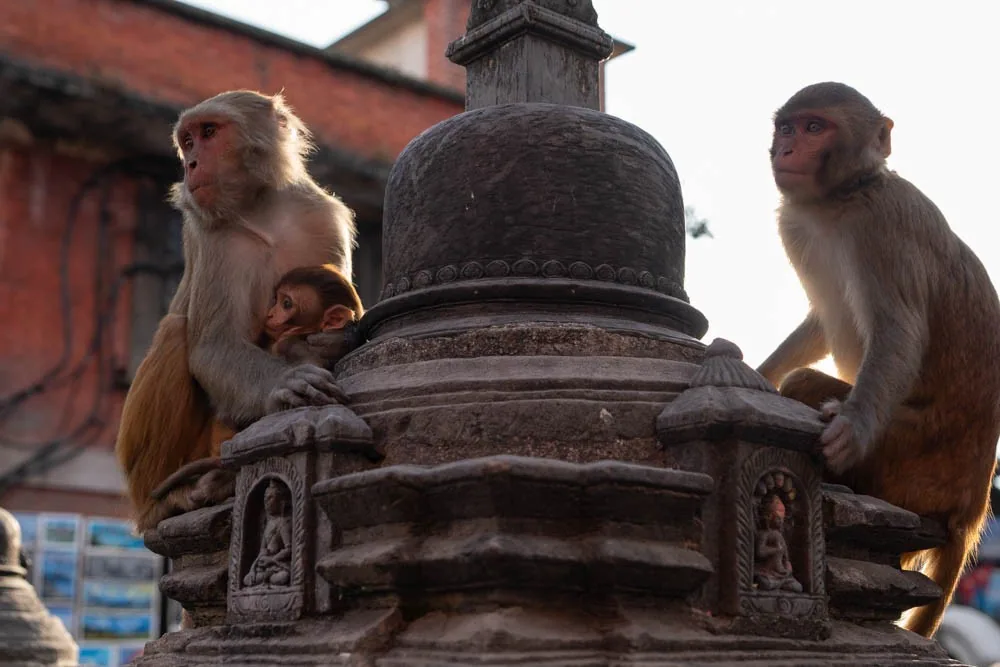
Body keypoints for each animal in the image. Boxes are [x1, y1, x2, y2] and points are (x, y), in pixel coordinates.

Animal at [756, 81, 1000, 638]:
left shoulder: (885, 222)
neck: (842, 199)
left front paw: (853, 426)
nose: (784, 148)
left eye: (815, 127)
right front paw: (757, 372)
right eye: (787, 126)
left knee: (808, 385)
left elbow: (898, 330)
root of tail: (972, 503)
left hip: (913, 458)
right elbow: (821, 323)